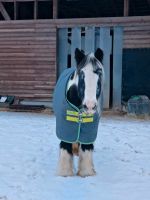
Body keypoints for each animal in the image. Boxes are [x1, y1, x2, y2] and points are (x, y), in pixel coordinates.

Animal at [53, 47, 104, 177]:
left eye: (99, 73)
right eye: (82, 74)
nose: (90, 106)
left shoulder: (90, 128)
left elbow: (86, 147)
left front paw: (86, 173)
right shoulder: (65, 126)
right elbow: (65, 146)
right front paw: (65, 173)